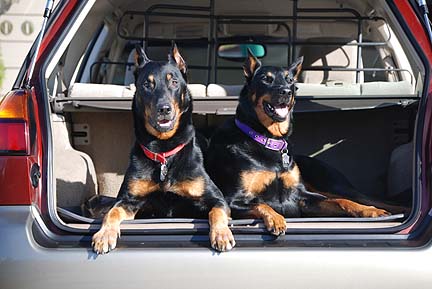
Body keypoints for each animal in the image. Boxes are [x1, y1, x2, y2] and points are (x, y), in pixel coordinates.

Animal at [92, 44, 236, 253]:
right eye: (147, 84)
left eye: (174, 82)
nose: (164, 109)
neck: (163, 151)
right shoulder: (129, 200)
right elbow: (112, 212)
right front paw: (104, 234)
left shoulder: (215, 198)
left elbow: (217, 211)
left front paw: (222, 234)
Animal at [204, 49, 390, 234]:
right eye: (266, 79)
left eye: (290, 80)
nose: (286, 92)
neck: (269, 139)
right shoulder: (233, 199)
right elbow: (261, 204)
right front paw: (276, 218)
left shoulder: (301, 196)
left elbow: (341, 202)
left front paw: (369, 210)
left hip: (334, 185)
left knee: (359, 198)